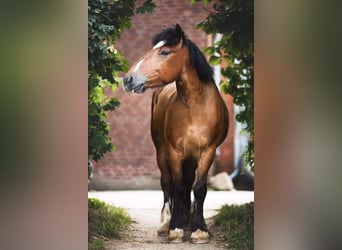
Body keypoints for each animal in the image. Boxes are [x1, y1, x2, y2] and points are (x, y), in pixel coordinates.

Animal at [123, 24, 230, 243]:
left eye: (164, 52)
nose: (128, 79)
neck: (195, 107)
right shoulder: (174, 152)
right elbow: (177, 186)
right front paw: (176, 228)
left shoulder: (207, 152)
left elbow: (199, 188)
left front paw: (199, 230)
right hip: (162, 152)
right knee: (167, 183)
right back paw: (166, 223)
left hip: (190, 158)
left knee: (187, 185)